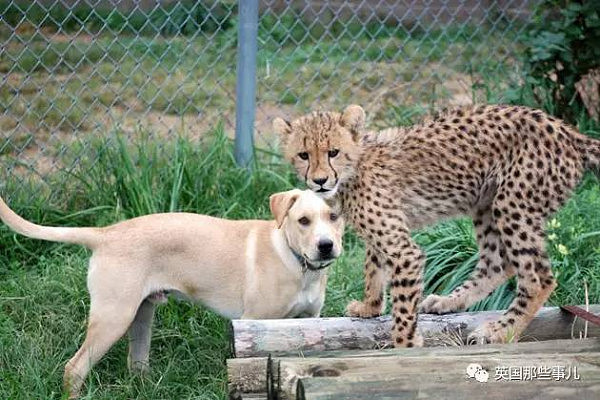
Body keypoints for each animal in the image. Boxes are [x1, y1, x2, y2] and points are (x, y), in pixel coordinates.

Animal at [274, 104, 600, 346]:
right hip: (486, 203)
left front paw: (404, 345)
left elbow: (403, 306)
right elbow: (373, 266)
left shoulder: (404, 250)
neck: (354, 168)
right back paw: (449, 302)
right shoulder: (382, 235)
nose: (319, 181)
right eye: (303, 155)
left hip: (513, 205)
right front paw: (370, 306)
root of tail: (570, 133)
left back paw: (501, 330)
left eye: (333, 152)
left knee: (538, 277)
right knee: (498, 263)